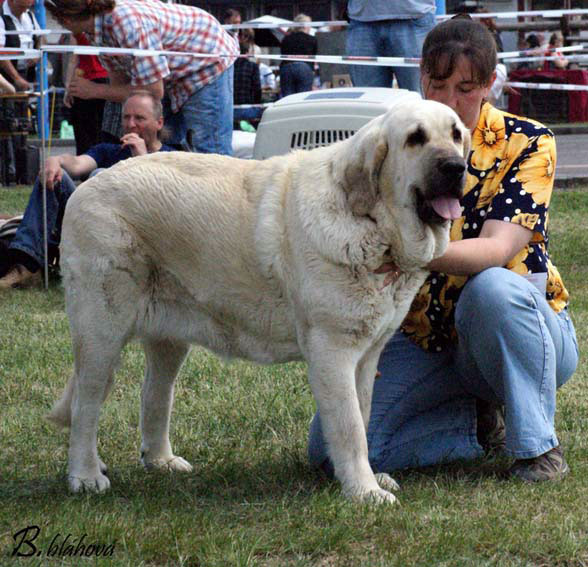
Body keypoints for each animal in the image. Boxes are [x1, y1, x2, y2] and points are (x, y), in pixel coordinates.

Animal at [51, 100, 474, 504]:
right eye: (415, 139)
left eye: (456, 135)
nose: (456, 167)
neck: (373, 224)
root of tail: (88, 185)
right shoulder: (332, 351)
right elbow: (350, 425)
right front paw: (364, 491)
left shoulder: (367, 357)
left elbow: (365, 412)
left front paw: (363, 477)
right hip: (101, 334)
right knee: (87, 405)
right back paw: (86, 475)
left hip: (168, 340)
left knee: (155, 394)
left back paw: (160, 461)